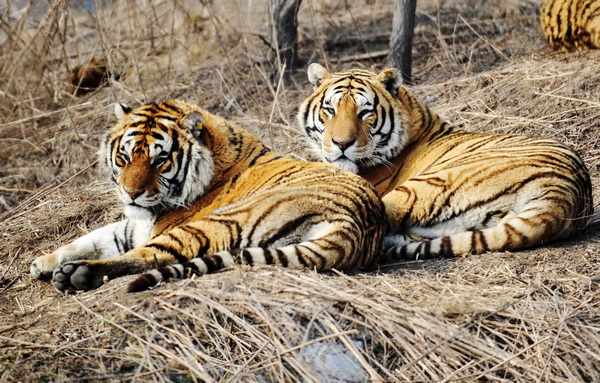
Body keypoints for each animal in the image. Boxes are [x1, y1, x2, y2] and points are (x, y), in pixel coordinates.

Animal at [29, 100, 384, 294]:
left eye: (160, 160)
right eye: (124, 157)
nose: (131, 193)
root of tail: (357, 222)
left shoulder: (157, 226)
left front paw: (56, 266)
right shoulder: (134, 224)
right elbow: (91, 237)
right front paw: (42, 262)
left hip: (215, 223)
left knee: (153, 257)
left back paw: (76, 275)